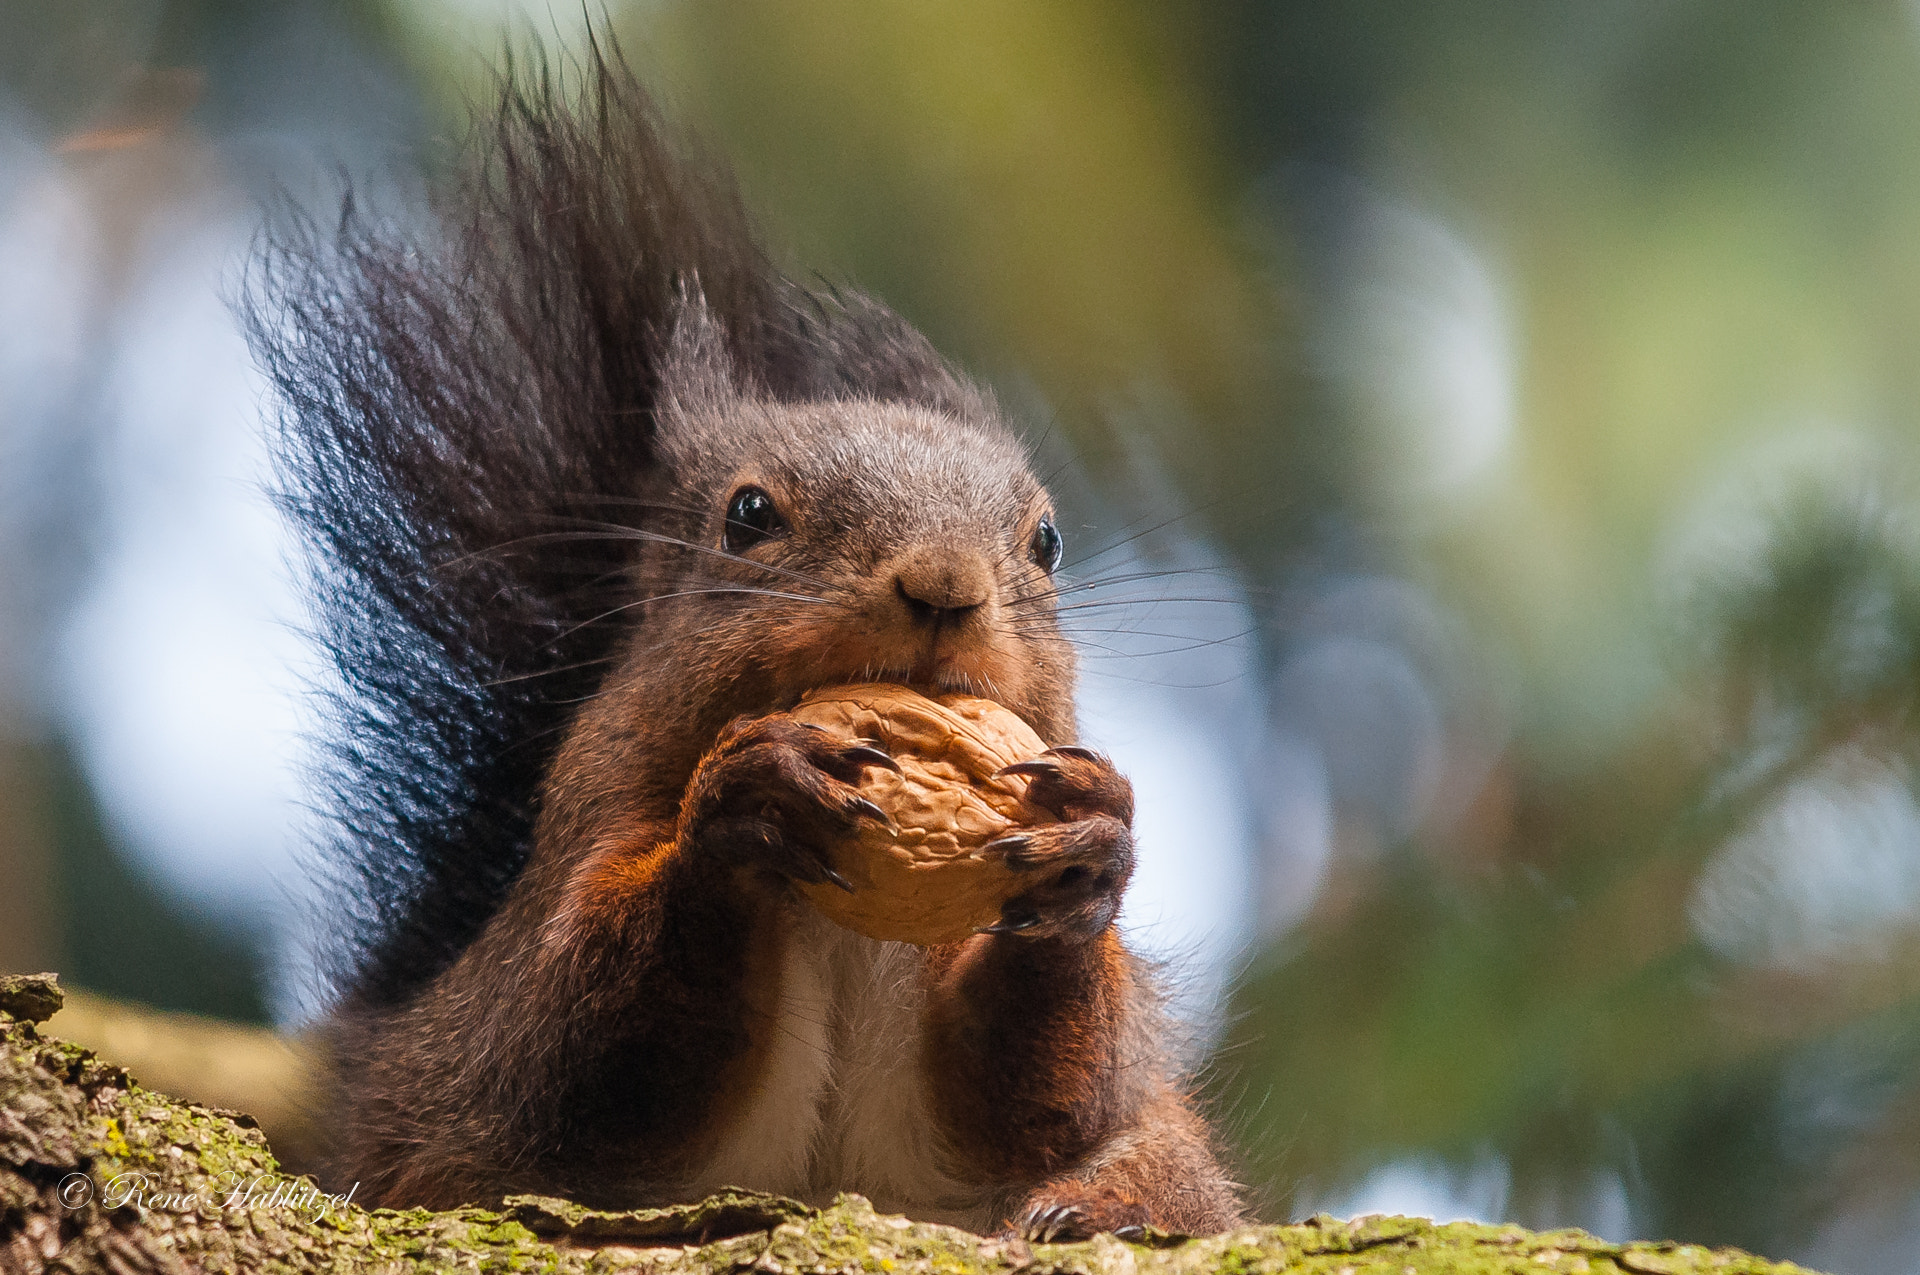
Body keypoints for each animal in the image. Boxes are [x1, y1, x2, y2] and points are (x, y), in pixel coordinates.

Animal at [249, 42, 1243, 1240]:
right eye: (749, 515)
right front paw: (742, 808)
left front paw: (1086, 845)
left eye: (1046, 541)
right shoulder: (583, 832)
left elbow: (1036, 1097)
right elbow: (575, 1041)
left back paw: (1094, 1212)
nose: (945, 588)